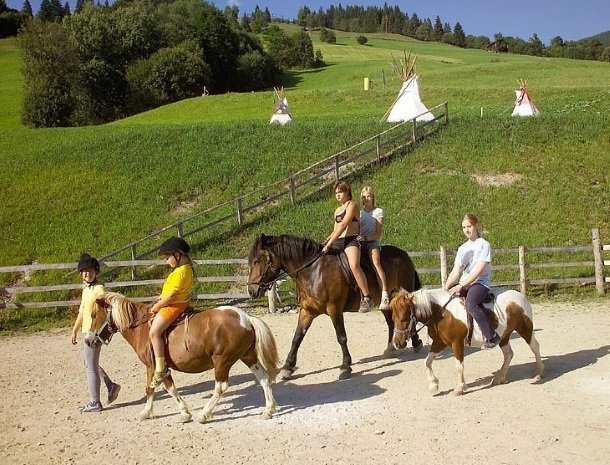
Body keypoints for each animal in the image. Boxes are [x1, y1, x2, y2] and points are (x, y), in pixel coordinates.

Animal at [87, 292, 278, 422]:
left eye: (94, 315)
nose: (88, 340)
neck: (142, 328)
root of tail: (246, 318)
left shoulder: (157, 367)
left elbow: (165, 388)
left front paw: (185, 413)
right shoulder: (153, 367)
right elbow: (151, 388)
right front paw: (147, 412)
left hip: (222, 361)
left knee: (221, 387)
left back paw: (204, 414)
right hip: (248, 356)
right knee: (263, 378)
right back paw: (268, 409)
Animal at [245, 234, 420, 378]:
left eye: (256, 261)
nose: (251, 290)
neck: (313, 271)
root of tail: (404, 255)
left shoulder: (334, 309)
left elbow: (341, 337)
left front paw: (345, 366)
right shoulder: (307, 311)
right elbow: (297, 337)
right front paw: (287, 367)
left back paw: (416, 343)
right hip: (385, 301)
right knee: (391, 322)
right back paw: (391, 348)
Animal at [390, 286, 540, 396]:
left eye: (404, 317)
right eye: (392, 317)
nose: (397, 343)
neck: (441, 313)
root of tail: (520, 296)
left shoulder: (457, 343)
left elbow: (459, 366)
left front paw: (460, 388)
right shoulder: (439, 343)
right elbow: (427, 362)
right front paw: (433, 385)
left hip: (525, 329)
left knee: (535, 347)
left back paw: (538, 373)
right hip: (504, 335)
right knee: (508, 354)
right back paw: (500, 378)